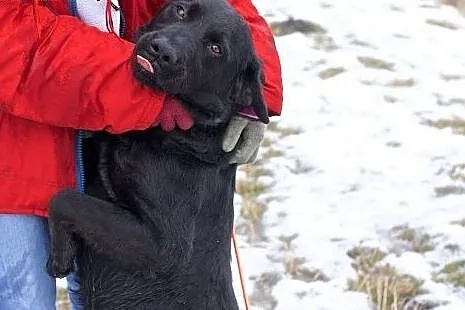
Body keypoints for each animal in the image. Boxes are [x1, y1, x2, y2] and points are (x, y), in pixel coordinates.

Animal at [46, 0, 268, 308]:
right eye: (180, 10)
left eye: (216, 49)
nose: (161, 50)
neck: (180, 132)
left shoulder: (165, 248)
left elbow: (65, 199)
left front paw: (60, 257)